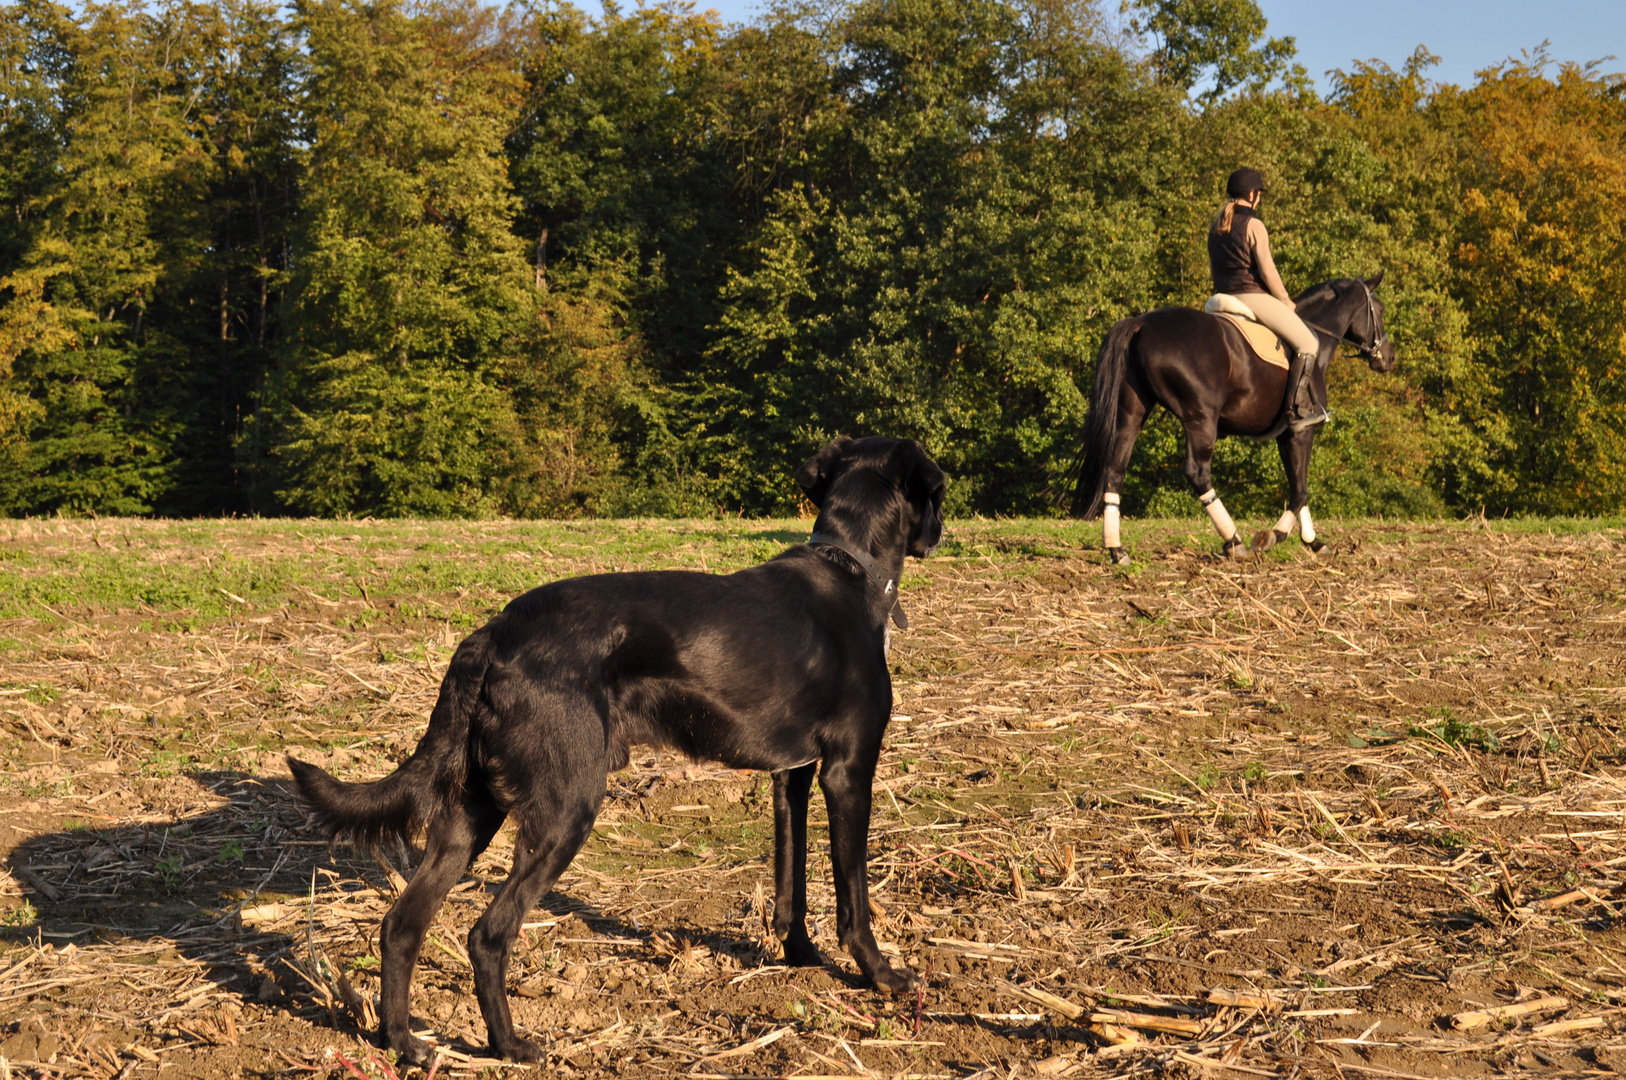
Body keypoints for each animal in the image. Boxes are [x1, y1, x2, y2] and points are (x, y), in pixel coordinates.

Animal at [292, 435, 949, 1060]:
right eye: (936, 495)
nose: (942, 530)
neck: (850, 569)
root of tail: (493, 633)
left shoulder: (792, 776)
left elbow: (792, 879)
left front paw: (799, 956)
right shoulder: (848, 771)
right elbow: (853, 892)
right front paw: (882, 976)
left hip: (469, 813)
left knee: (401, 925)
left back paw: (402, 1042)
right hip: (567, 809)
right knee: (488, 935)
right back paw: (510, 1046)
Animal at [1073, 271, 1391, 566]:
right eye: (1380, 309)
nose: (1389, 359)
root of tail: (1142, 323)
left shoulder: (1287, 434)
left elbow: (1297, 482)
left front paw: (1312, 541)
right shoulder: (1301, 430)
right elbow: (1300, 489)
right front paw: (1273, 536)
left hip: (1132, 412)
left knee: (1115, 468)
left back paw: (1117, 549)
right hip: (1201, 418)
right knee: (1198, 472)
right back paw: (1233, 541)